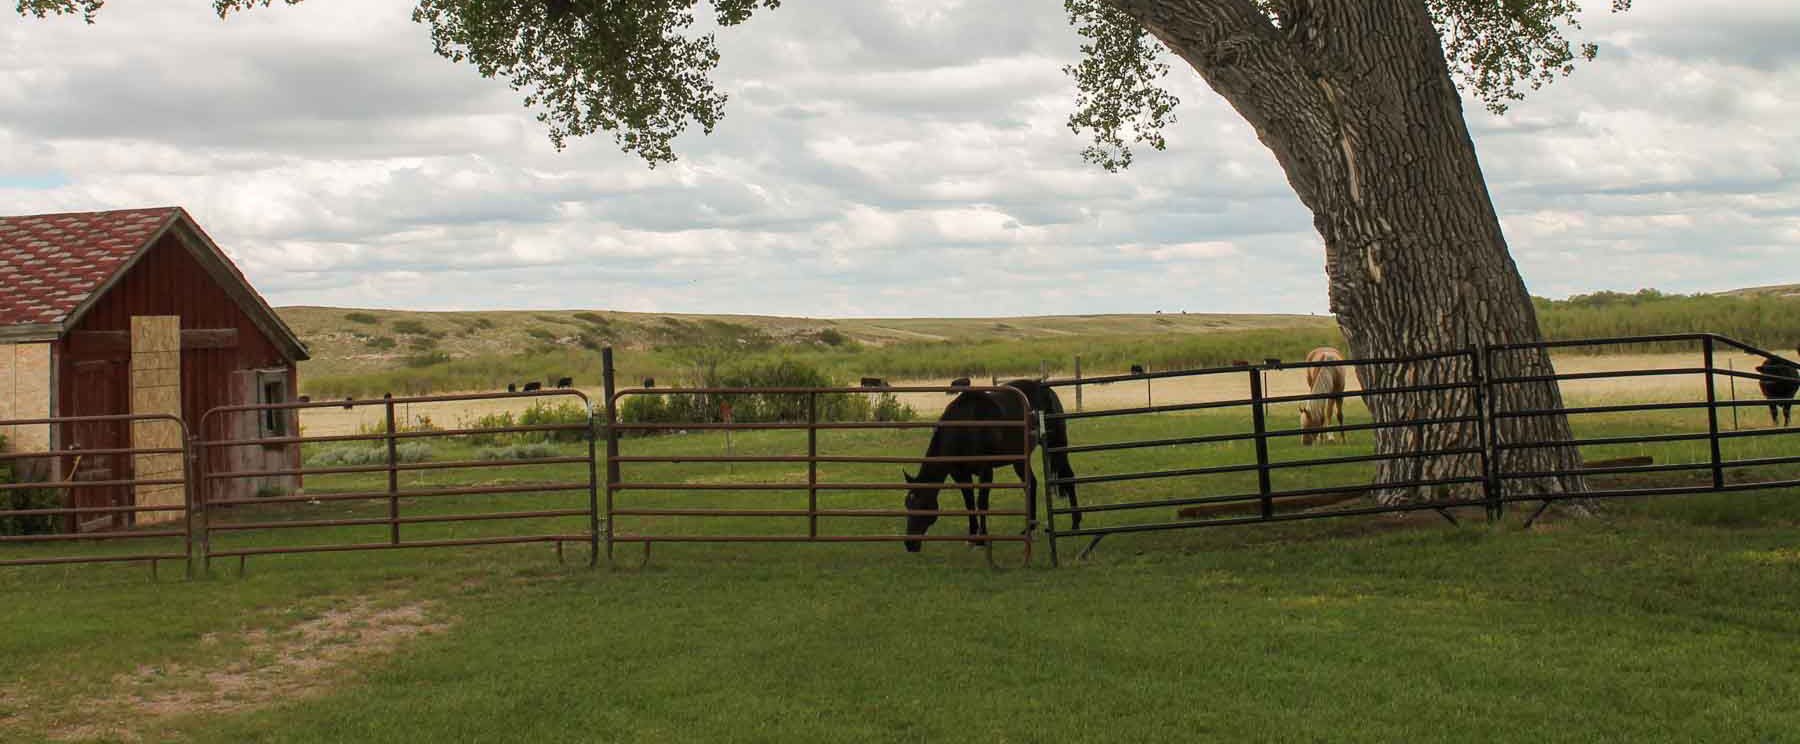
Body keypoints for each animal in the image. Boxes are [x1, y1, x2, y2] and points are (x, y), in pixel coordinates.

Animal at [902, 380, 1081, 552]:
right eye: (907, 505)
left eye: (923, 505)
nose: (909, 544)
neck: (964, 427)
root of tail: (1046, 389)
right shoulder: (960, 474)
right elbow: (969, 503)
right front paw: (972, 536)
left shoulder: (986, 471)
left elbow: (981, 503)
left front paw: (981, 540)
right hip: (1019, 460)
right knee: (1032, 484)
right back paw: (1029, 528)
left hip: (1057, 445)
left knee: (1068, 477)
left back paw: (1075, 524)